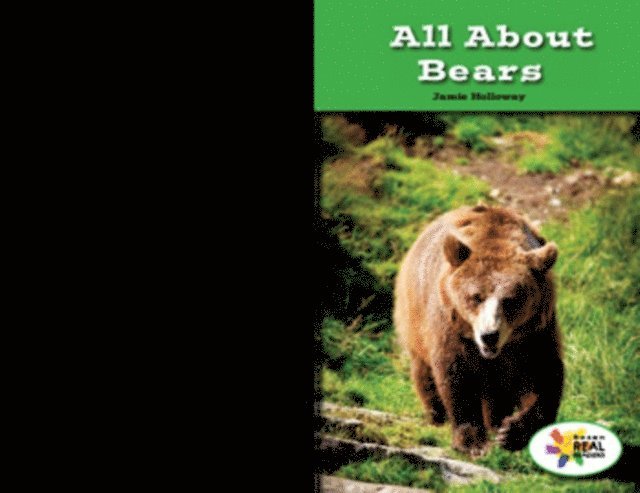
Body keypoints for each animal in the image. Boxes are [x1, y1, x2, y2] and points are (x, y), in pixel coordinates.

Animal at [394, 204, 563, 456]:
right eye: (476, 297)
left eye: (511, 300)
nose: (489, 336)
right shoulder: (451, 324)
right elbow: (456, 375)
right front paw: (472, 442)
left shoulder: (535, 332)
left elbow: (543, 374)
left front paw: (510, 432)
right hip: (415, 317)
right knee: (424, 371)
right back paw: (437, 416)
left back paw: (495, 422)